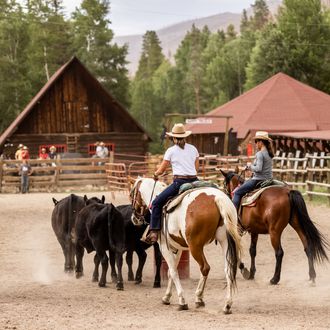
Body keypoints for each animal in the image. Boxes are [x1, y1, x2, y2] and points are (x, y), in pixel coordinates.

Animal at [130, 178, 241, 314]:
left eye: (132, 195)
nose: (134, 218)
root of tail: (217, 198)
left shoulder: (164, 247)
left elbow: (173, 272)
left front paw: (182, 301)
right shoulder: (177, 248)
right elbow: (170, 272)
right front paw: (167, 297)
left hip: (195, 246)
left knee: (205, 267)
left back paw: (199, 297)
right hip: (224, 241)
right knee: (228, 269)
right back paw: (227, 305)